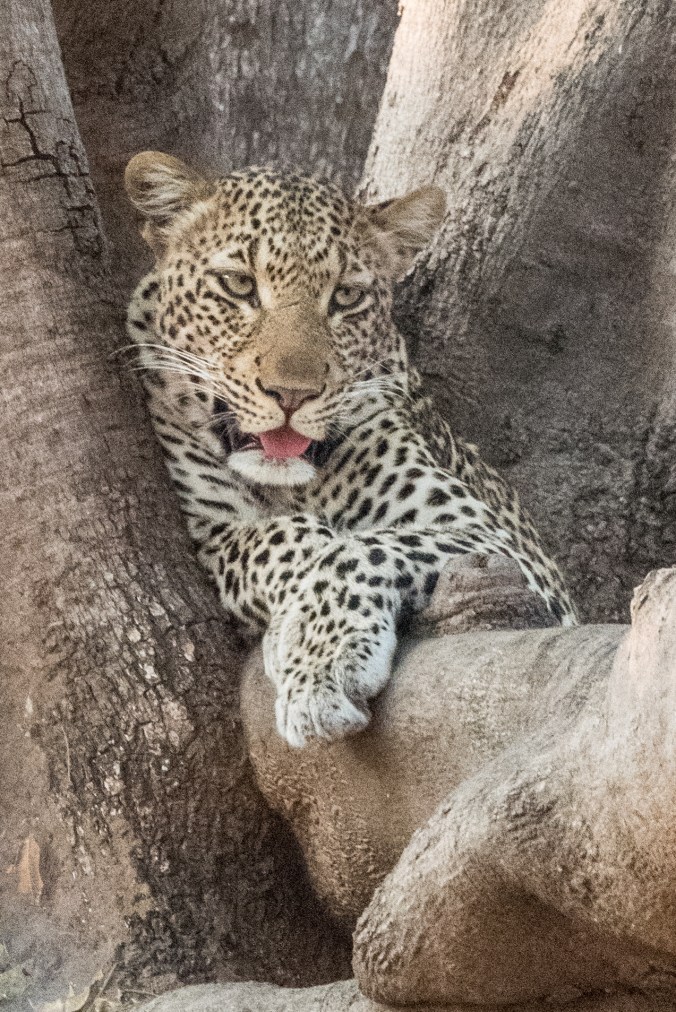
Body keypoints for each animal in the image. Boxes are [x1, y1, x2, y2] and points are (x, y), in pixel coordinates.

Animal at [124, 151, 577, 749]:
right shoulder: (211, 533)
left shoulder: (506, 547)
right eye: (239, 285)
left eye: (345, 297)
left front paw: (319, 660)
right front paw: (296, 627)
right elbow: (279, 540)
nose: (291, 393)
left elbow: (360, 548)